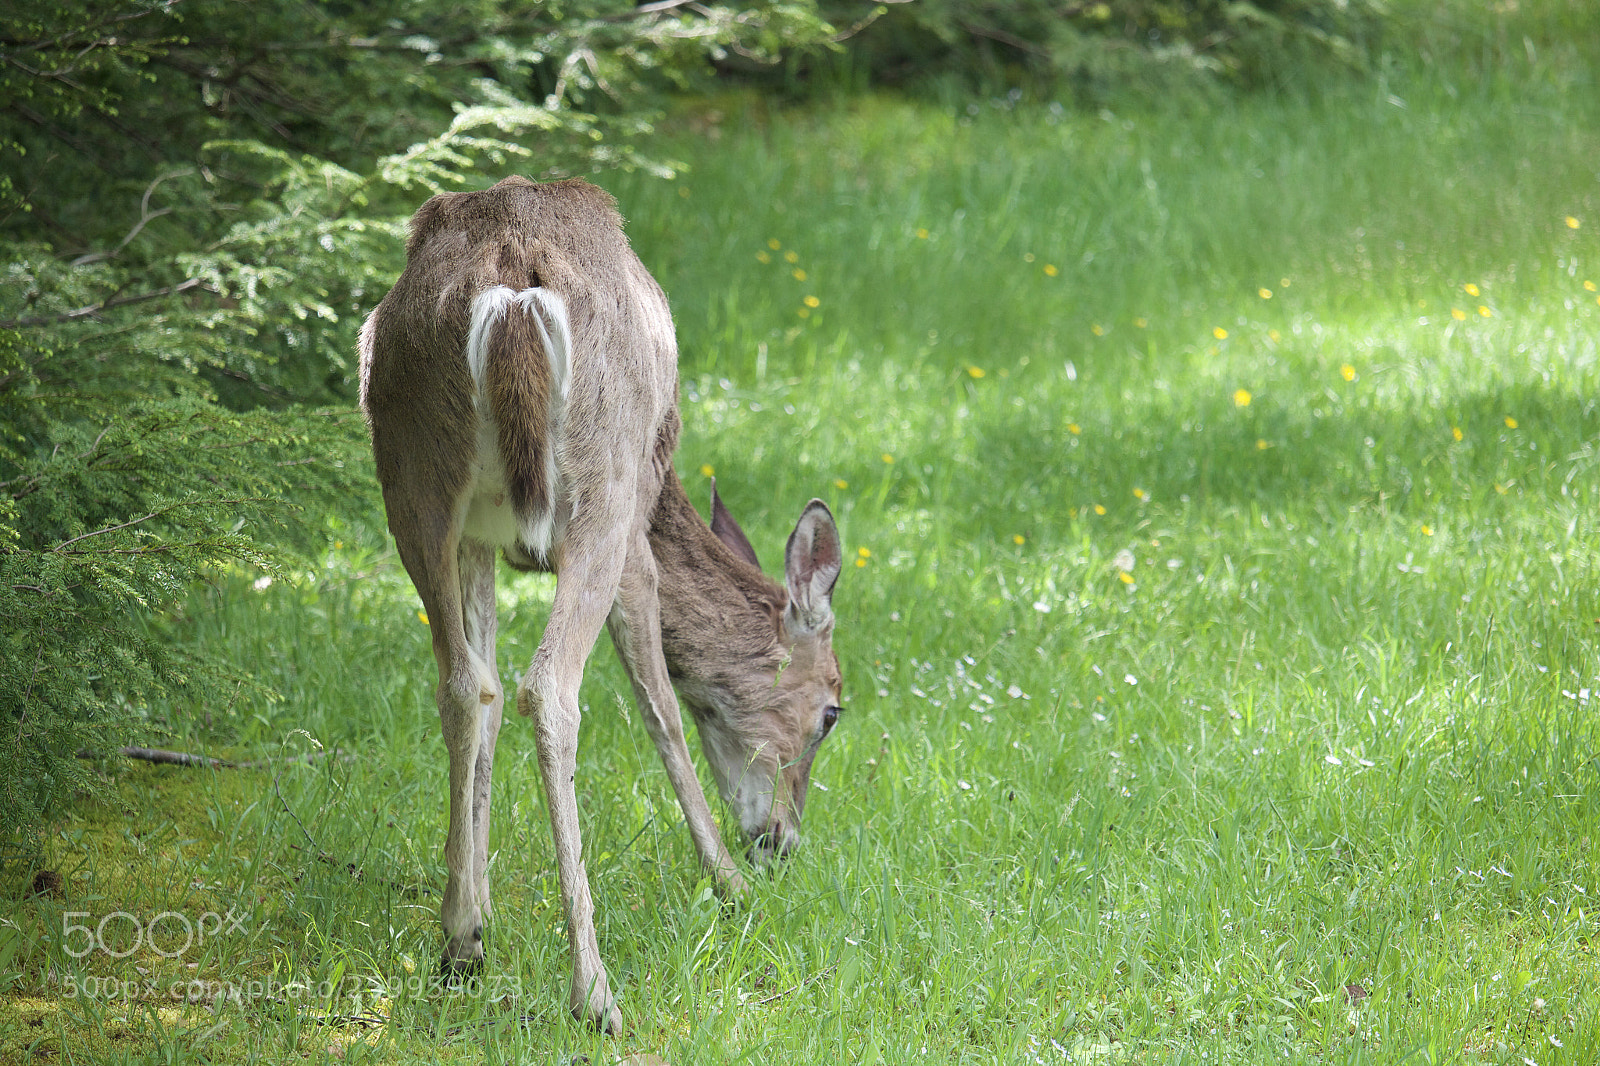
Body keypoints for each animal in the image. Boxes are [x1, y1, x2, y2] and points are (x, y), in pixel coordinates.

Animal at [356, 175, 845, 1032]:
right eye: (830, 713)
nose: (783, 842)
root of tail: (512, 289)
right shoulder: (636, 533)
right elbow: (663, 709)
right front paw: (726, 882)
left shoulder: (480, 539)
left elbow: (482, 694)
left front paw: (481, 910)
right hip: (601, 489)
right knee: (550, 688)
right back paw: (593, 990)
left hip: (414, 479)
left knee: (465, 683)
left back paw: (458, 943)